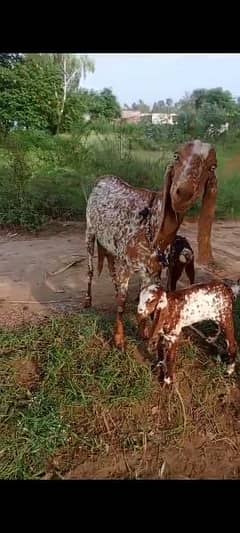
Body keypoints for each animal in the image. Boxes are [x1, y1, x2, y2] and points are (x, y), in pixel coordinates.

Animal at [85, 139, 218, 352]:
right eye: (176, 156)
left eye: (212, 166)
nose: (183, 193)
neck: (151, 225)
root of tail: (103, 178)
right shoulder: (127, 265)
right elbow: (122, 302)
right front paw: (119, 340)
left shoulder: (153, 271)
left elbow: (145, 298)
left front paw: (144, 331)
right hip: (89, 231)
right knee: (90, 269)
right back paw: (88, 300)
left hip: (110, 247)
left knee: (111, 267)